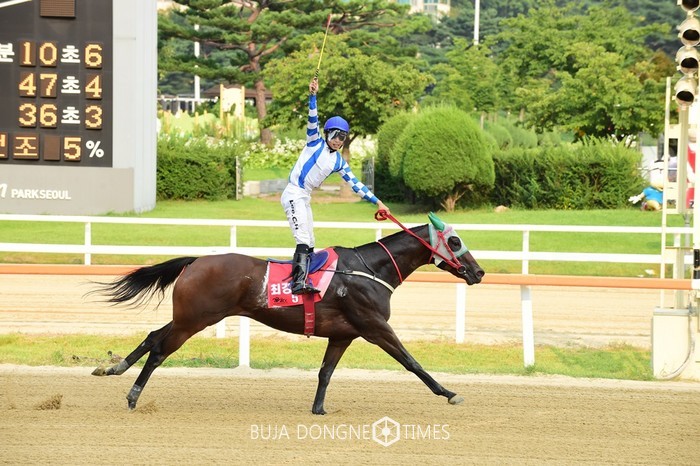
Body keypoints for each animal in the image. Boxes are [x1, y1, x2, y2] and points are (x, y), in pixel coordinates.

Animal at [91, 212, 484, 414]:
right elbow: (411, 362)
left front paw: (319, 409)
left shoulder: (343, 334)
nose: (479, 272)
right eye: (454, 241)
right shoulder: (374, 326)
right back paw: (132, 396)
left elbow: (325, 372)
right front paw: (449, 392)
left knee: (152, 336)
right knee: (160, 350)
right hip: (195, 320)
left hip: (188, 316)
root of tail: (196, 261)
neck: (369, 270)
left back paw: (112, 368)